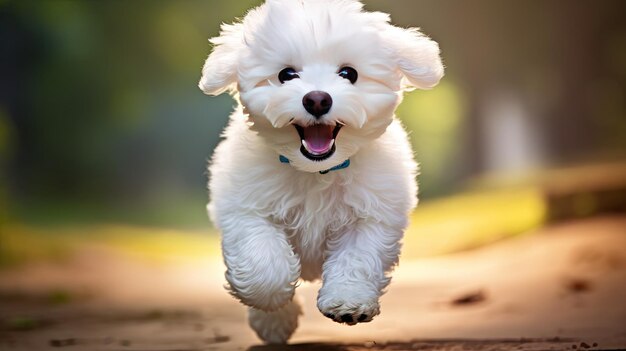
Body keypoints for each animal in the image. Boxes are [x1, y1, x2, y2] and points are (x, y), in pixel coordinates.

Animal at [197, 0, 442, 346]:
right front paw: (271, 304)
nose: (316, 98)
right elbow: (263, 263)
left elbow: (358, 256)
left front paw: (348, 301)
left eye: (349, 73)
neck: (317, 171)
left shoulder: (372, 214)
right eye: (286, 74)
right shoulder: (245, 206)